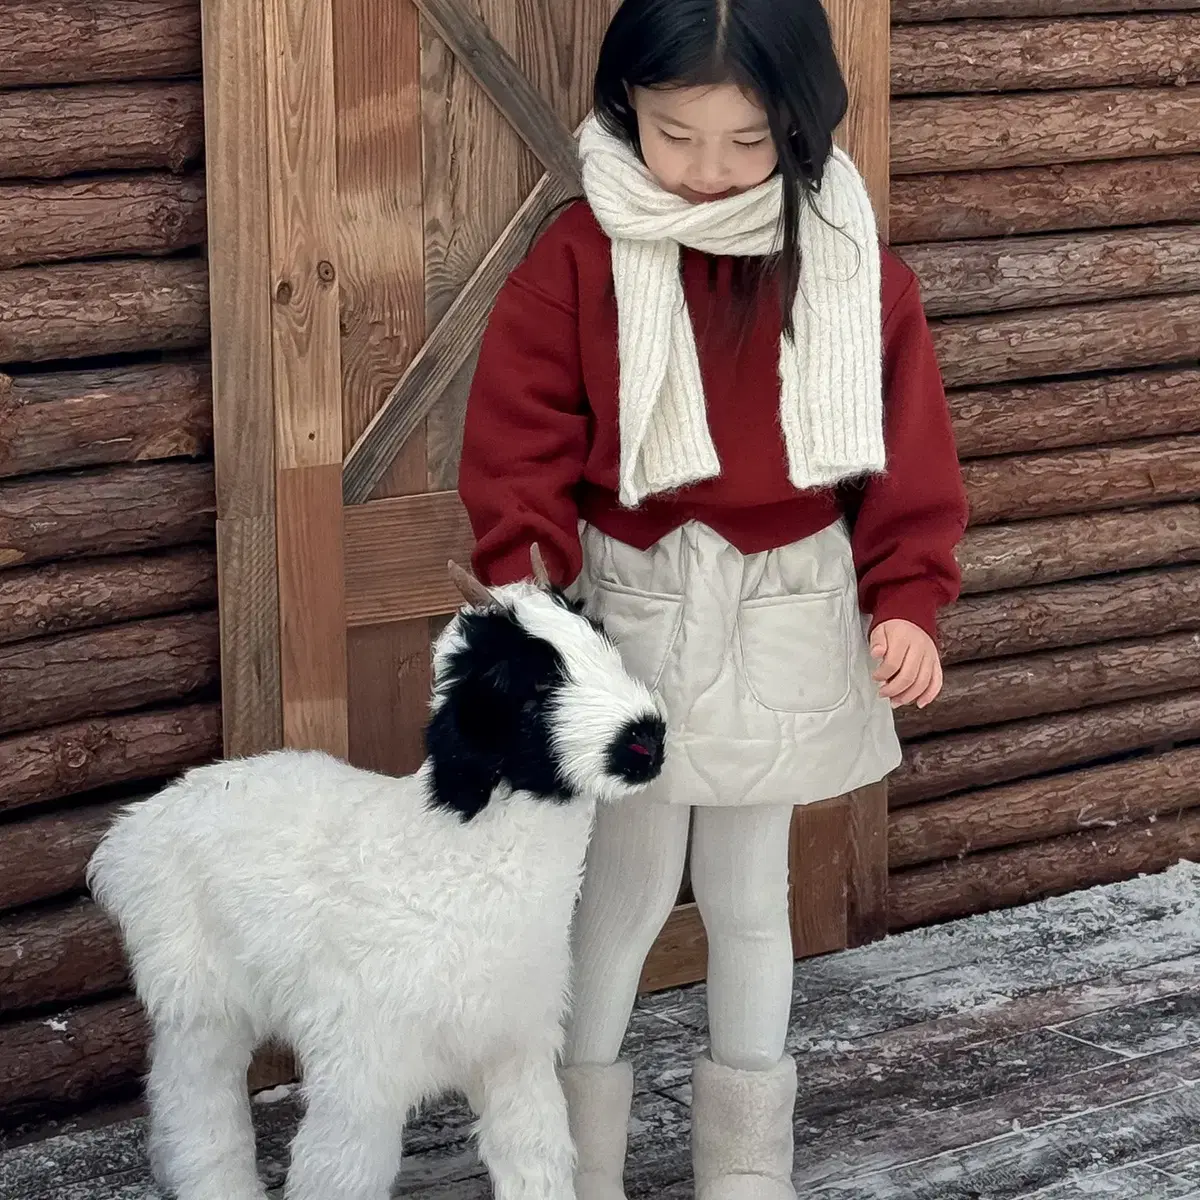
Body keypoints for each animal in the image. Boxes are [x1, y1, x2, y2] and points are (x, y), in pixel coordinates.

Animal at [87, 552, 667, 1200]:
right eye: (536, 682)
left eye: (605, 644)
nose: (646, 739)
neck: (447, 857)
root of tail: (129, 835)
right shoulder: (360, 1068)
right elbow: (338, 1172)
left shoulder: (514, 1048)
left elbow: (536, 1153)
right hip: (199, 998)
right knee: (195, 1103)